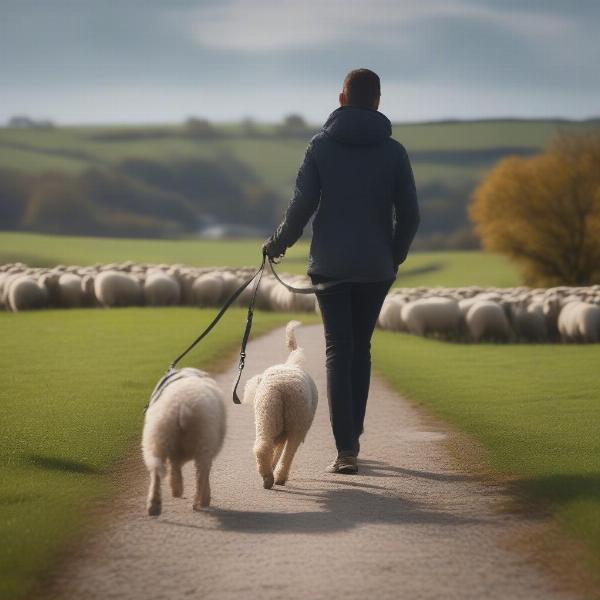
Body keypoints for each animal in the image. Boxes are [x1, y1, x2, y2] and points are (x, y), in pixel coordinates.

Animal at [142, 366, 226, 516]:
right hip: (204, 443)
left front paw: (176, 489)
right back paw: (201, 501)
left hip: (157, 438)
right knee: (201, 476)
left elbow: (175, 465)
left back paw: (154, 505)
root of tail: (183, 406)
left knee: (157, 470)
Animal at [243, 322, 318, 490]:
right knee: (289, 452)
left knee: (263, 446)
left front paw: (271, 465)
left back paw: (267, 477)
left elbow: (276, 447)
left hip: (266, 413)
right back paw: (280, 477)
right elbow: (281, 449)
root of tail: (282, 388)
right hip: (297, 420)